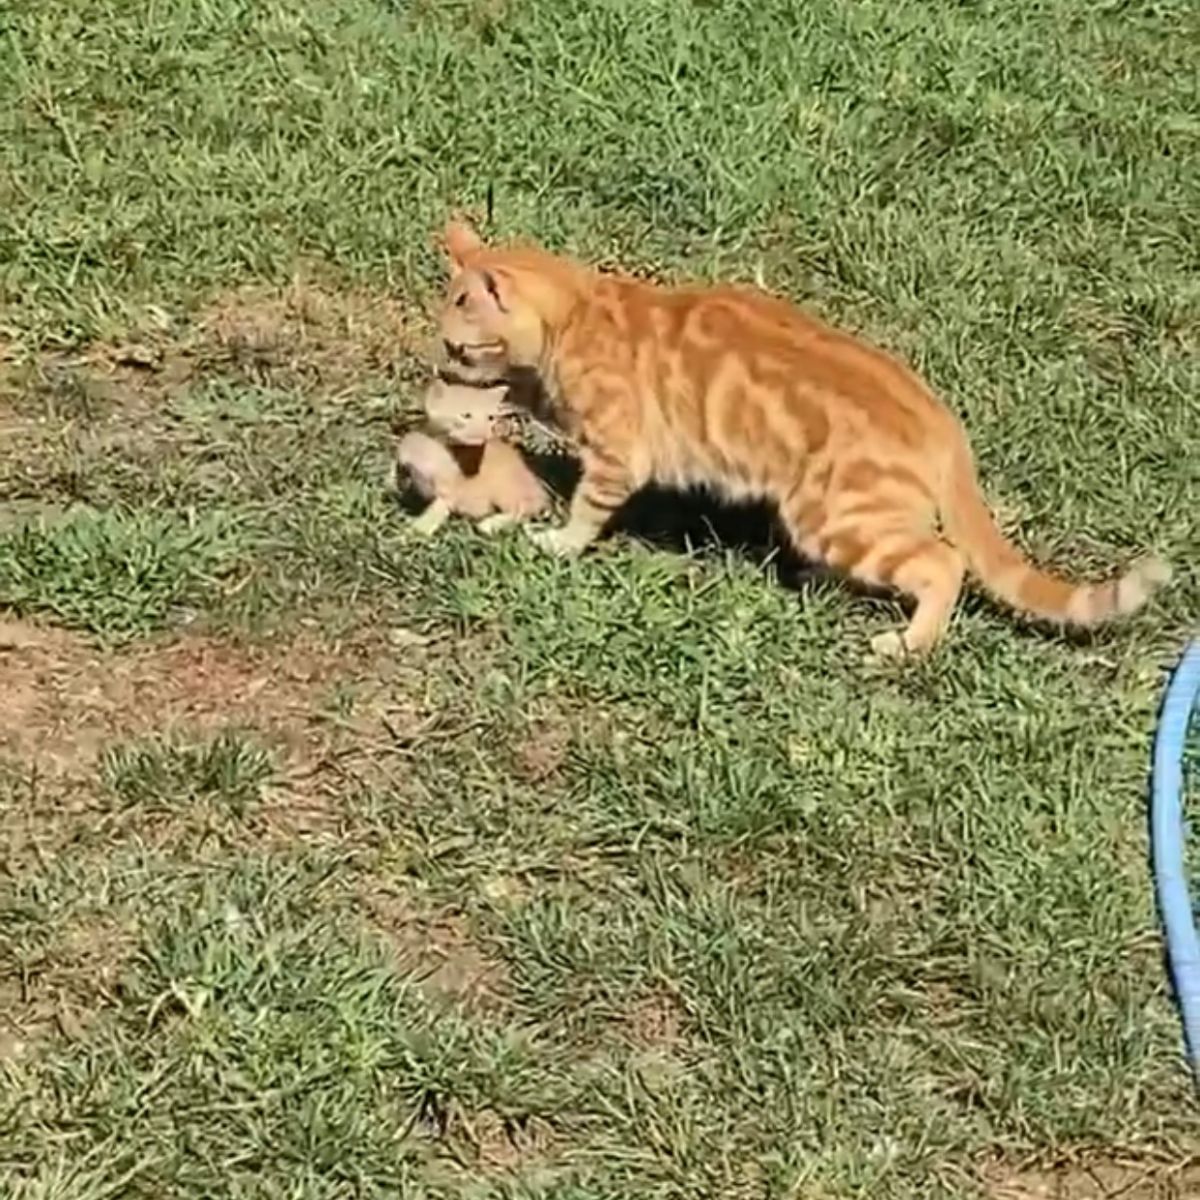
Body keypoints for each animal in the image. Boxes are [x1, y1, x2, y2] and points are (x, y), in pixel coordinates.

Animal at [434, 220, 1171, 662]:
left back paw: (909, 642)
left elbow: (585, 510)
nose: (438, 364)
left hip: (832, 514)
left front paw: (555, 541)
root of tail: (942, 420)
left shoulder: (619, 454)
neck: (581, 308)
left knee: (943, 563)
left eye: (458, 346)